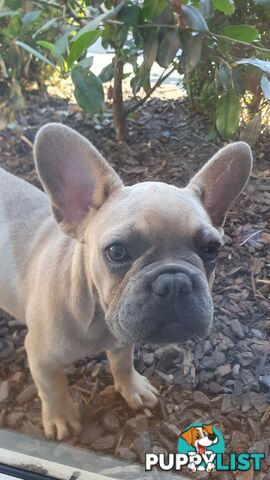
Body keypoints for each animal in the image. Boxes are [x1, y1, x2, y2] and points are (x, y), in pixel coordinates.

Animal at [0, 124, 252, 438]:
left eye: (211, 250)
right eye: (117, 252)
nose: (175, 282)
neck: (97, 316)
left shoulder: (123, 337)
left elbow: (122, 363)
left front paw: (132, 389)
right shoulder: (40, 356)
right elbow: (53, 388)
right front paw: (61, 417)